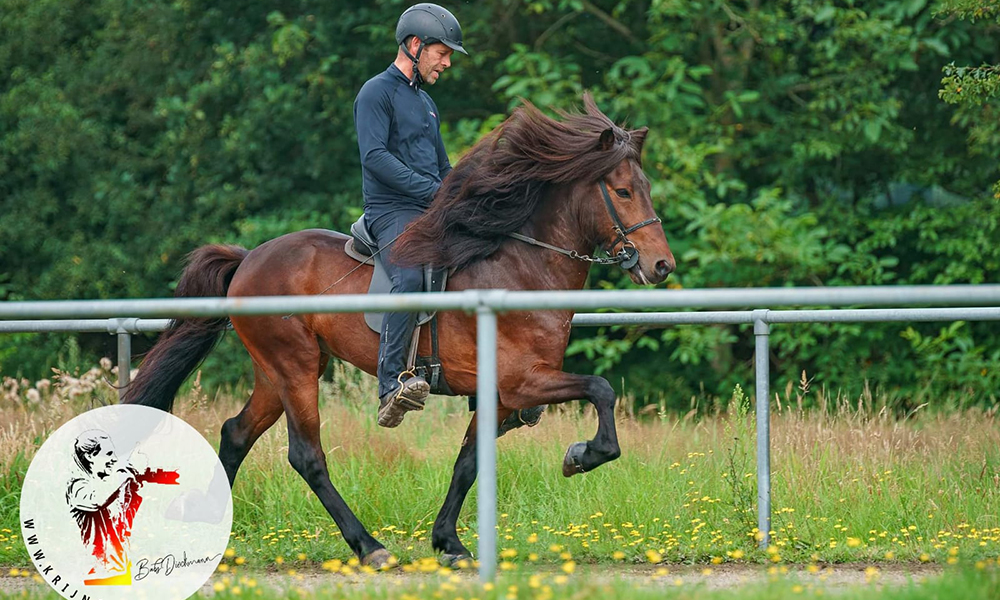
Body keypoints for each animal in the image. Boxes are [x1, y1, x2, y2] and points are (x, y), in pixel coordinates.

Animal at [121, 92, 676, 568]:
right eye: (623, 191)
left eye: (647, 189)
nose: (661, 266)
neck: (521, 270)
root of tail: (248, 259)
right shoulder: (521, 382)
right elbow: (600, 389)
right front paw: (582, 455)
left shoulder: (498, 396)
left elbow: (468, 464)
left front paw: (449, 542)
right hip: (294, 366)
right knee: (307, 456)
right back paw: (369, 547)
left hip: (279, 371)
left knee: (236, 433)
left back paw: (207, 522)